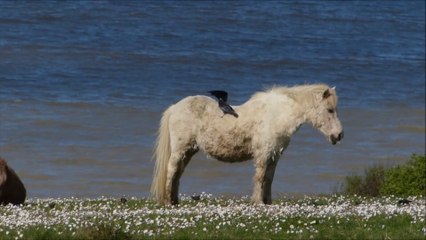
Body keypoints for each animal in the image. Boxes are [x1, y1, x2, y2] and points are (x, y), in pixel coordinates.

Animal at [151, 84, 344, 204]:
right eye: (329, 110)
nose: (339, 135)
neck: (275, 115)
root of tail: (175, 107)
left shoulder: (274, 155)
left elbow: (269, 179)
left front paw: (268, 203)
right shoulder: (264, 154)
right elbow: (260, 178)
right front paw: (258, 202)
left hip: (188, 151)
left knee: (177, 174)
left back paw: (175, 201)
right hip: (180, 150)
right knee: (171, 172)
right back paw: (168, 202)